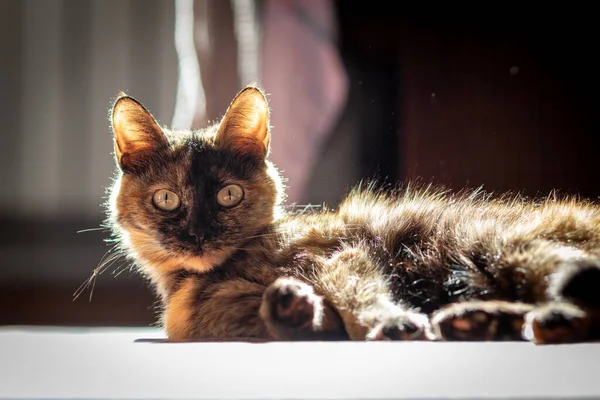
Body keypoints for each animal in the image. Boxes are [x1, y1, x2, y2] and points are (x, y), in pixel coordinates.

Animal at [105, 83, 600, 344]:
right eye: (167, 200)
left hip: (501, 245)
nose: (198, 233)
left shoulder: (336, 256)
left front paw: (389, 322)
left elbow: (357, 296)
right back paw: (480, 319)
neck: (201, 282)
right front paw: (294, 308)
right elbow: (314, 320)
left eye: (228, 195)